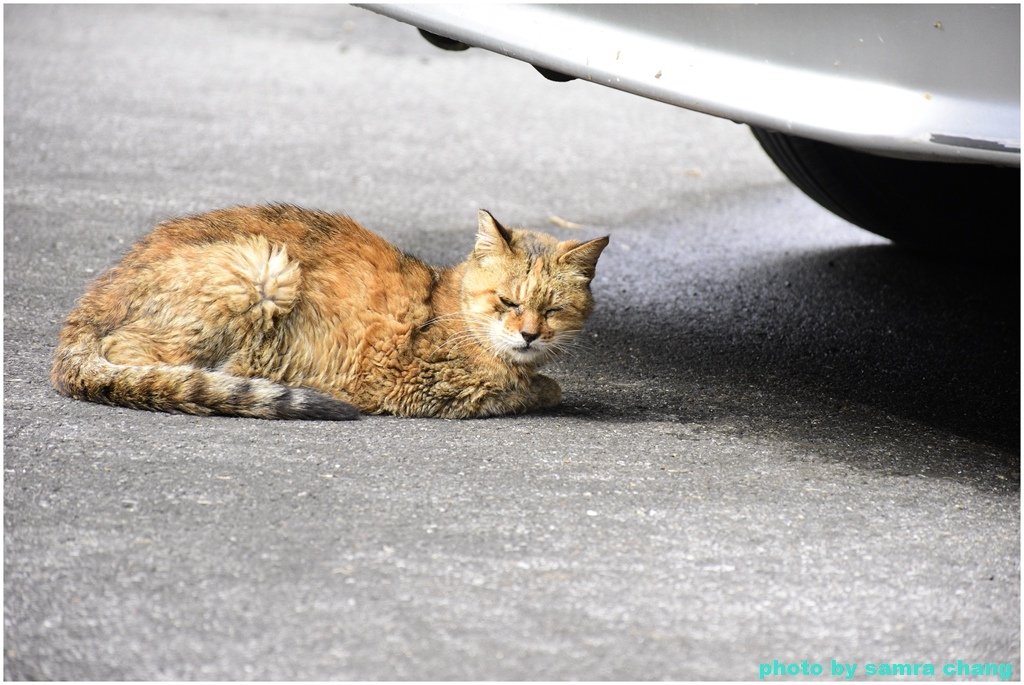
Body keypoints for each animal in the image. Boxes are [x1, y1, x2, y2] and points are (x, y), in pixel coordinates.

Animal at [49, 202, 606, 419]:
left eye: (552, 310)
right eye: (507, 302)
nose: (530, 335)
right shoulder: (424, 381)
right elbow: (538, 389)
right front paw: (541, 384)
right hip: (263, 270)